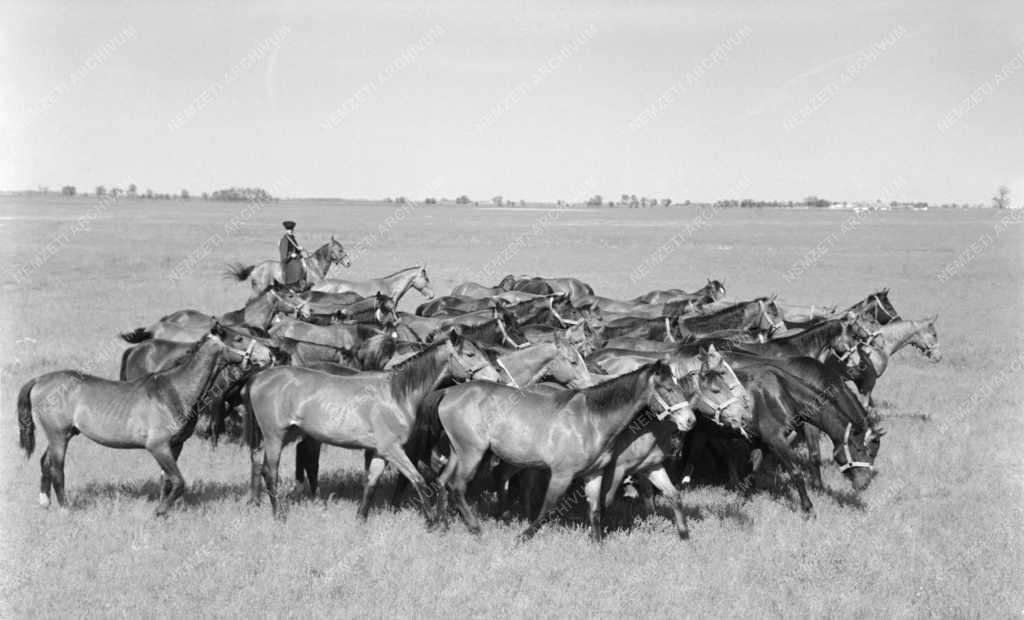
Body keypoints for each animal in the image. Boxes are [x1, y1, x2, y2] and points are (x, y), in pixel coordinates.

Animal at [18, 323, 274, 512]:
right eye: (238, 339)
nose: (269, 355)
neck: (174, 391)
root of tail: (39, 380)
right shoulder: (157, 446)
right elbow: (178, 481)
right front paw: (160, 512)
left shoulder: (175, 445)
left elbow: (167, 480)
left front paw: (166, 508)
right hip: (58, 435)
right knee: (57, 469)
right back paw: (65, 508)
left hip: (64, 434)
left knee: (45, 462)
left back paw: (45, 503)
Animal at [247, 327, 503, 522]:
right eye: (470, 354)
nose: (497, 378)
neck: (396, 395)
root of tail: (260, 377)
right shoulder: (393, 450)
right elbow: (418, 480)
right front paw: (433, 521)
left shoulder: (380, 452)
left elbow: (371, 484)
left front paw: (361, 519)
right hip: (275, 436)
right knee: (270, 471)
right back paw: (279, 514)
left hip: (288, 434)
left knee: (261, 461)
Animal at [432, 360, 696, 541]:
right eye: (667, 388)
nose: (690, 420)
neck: (592, 420)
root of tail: (449, 392)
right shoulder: (564, 473)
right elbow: (551, 505)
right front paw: (524, 536)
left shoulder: (598, 473)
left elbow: (597, 508)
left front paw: (598, 543)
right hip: (472, 453)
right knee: (458, 485)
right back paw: (476, 528)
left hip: (463, 453)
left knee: (444, 481)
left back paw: (443, 525)